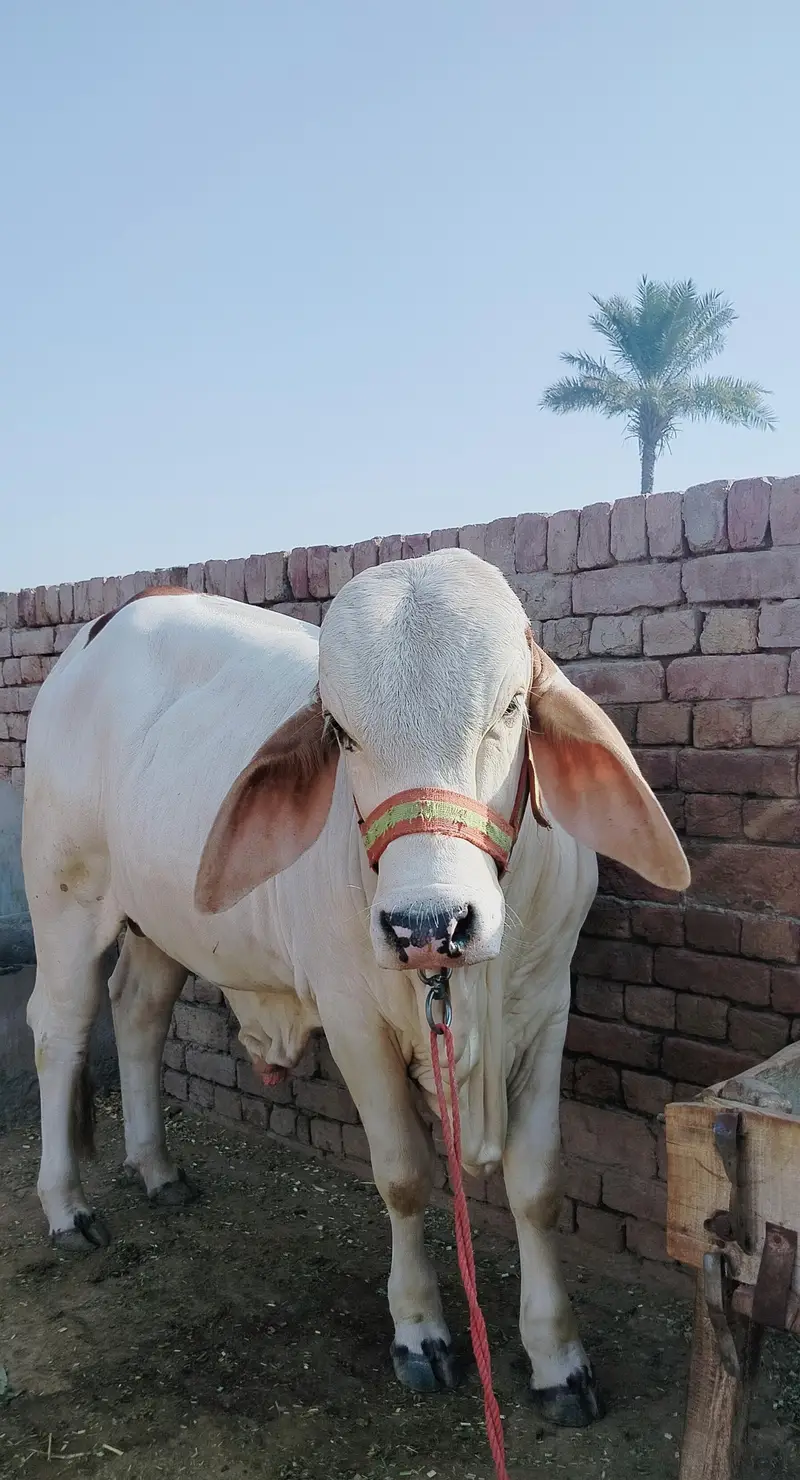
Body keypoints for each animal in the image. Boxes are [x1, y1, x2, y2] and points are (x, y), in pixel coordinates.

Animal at [21, 548, 689, 1426]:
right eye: (340, 732)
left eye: (512, 706)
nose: (428, 924)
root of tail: (103, 624)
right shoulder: (353, 1023)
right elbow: (403, 1176)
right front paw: (421, 1333)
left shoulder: (547, 1013)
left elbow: (539, 1188)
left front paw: (558, 1361)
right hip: (66, 900)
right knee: (59, 1030)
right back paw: (67, 1208)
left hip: (159, 917)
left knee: (138, 1014)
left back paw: (158, 1171)